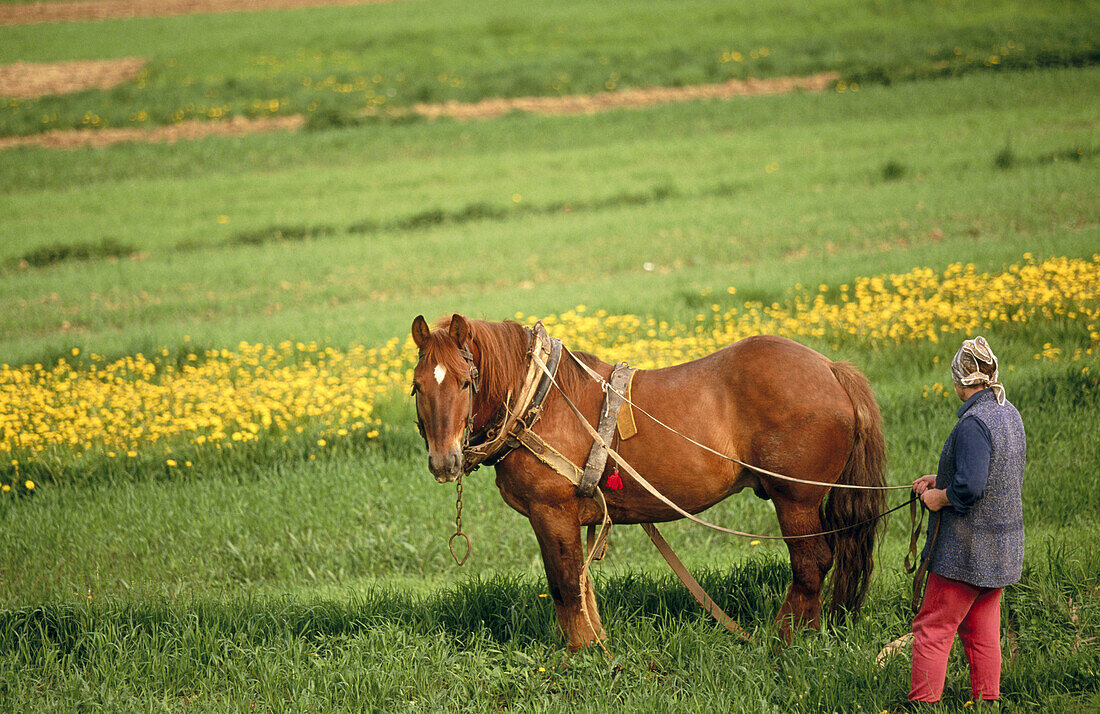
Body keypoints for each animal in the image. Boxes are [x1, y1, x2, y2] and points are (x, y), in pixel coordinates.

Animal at [411, 312, 884, 646]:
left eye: (466, 382)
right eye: (417, 387)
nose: (444, 461)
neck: (542, 403)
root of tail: (830, 368)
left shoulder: (552, 512)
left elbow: (565, 584)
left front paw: (581, 654)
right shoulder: (574, 518)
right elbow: (581, 583)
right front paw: (596, 642)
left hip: (796, 501)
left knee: (810, 566)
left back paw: (786, 640)